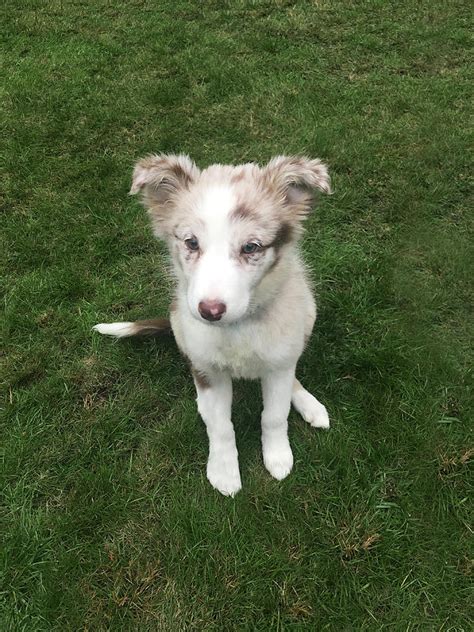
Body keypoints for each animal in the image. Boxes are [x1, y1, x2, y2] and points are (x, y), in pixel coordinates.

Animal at [94, 153, 332, 494]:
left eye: (251, 247)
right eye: (191, 243)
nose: (210, 311)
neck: (238, 327)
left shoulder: (278, 363)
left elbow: (274, 414)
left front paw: (277, 457)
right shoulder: (207, 369)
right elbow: (220, 426)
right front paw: (224, 472)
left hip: (306, 313)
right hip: (178, 321)